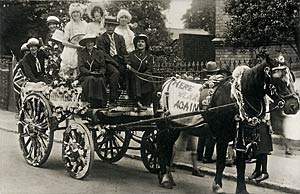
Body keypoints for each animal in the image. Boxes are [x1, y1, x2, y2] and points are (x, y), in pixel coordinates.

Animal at [156, 55, 298, 193]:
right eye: (277, 78)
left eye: (291, 77)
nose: (294, 106)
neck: (235, 99)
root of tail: (164, 83)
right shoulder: (222, 137)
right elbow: (220, 162)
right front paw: (217, 186)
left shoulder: (242, 139)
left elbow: (241, 164)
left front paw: (242, 190)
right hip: (166, 128)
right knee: (162, 147)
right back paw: (165, 178)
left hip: (176, 127)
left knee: (168, 148)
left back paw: (167, 176)